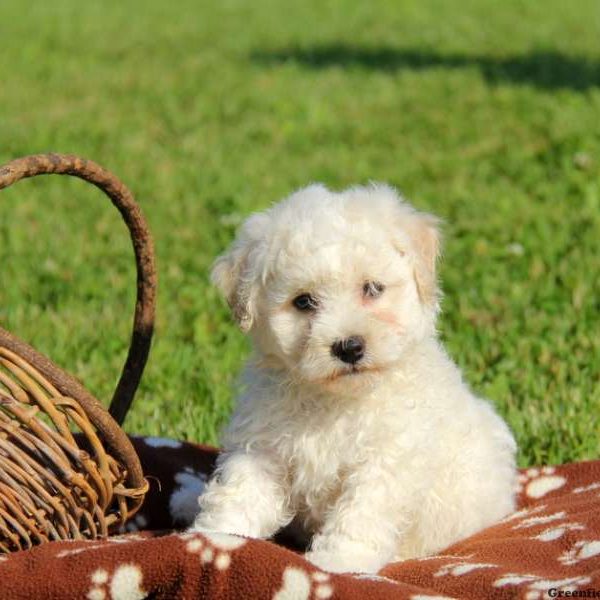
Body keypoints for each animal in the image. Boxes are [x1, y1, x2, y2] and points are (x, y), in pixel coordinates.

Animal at [191, 183, 516, 572]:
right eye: (304, 301)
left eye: (372, 289)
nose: (348, 347)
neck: (336, 399)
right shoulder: (263, 447)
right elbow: (240, 492)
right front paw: (213, 538)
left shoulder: (386, 458)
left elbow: (360, 513)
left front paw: (338, 563)